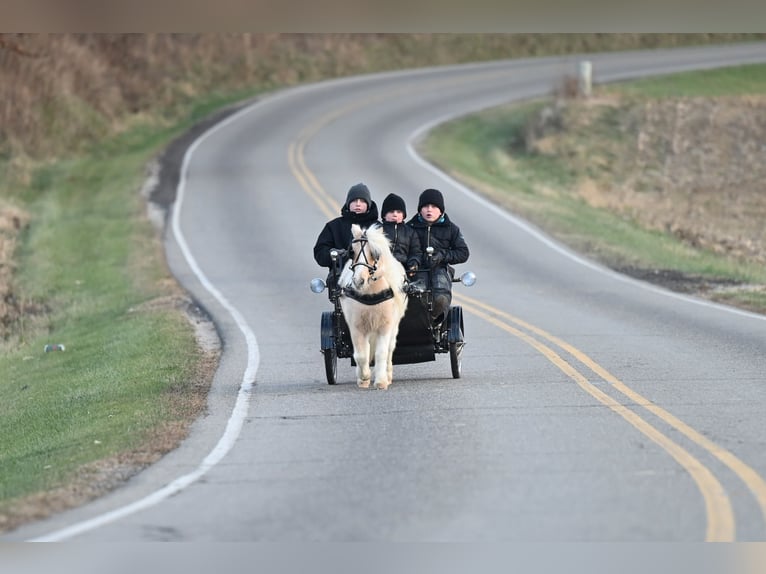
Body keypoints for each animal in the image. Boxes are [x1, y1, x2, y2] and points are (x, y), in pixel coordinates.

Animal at [338, 225, 408, 392]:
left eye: (374, 253)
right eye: (352, 251)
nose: (359, 281)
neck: (371, 293)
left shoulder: (385, 326)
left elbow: (381, 353)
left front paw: (381, 381)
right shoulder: (356, 326)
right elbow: (361, 355)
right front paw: (364, 377)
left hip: (394, 325)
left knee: (389, 348)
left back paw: (387, 374)